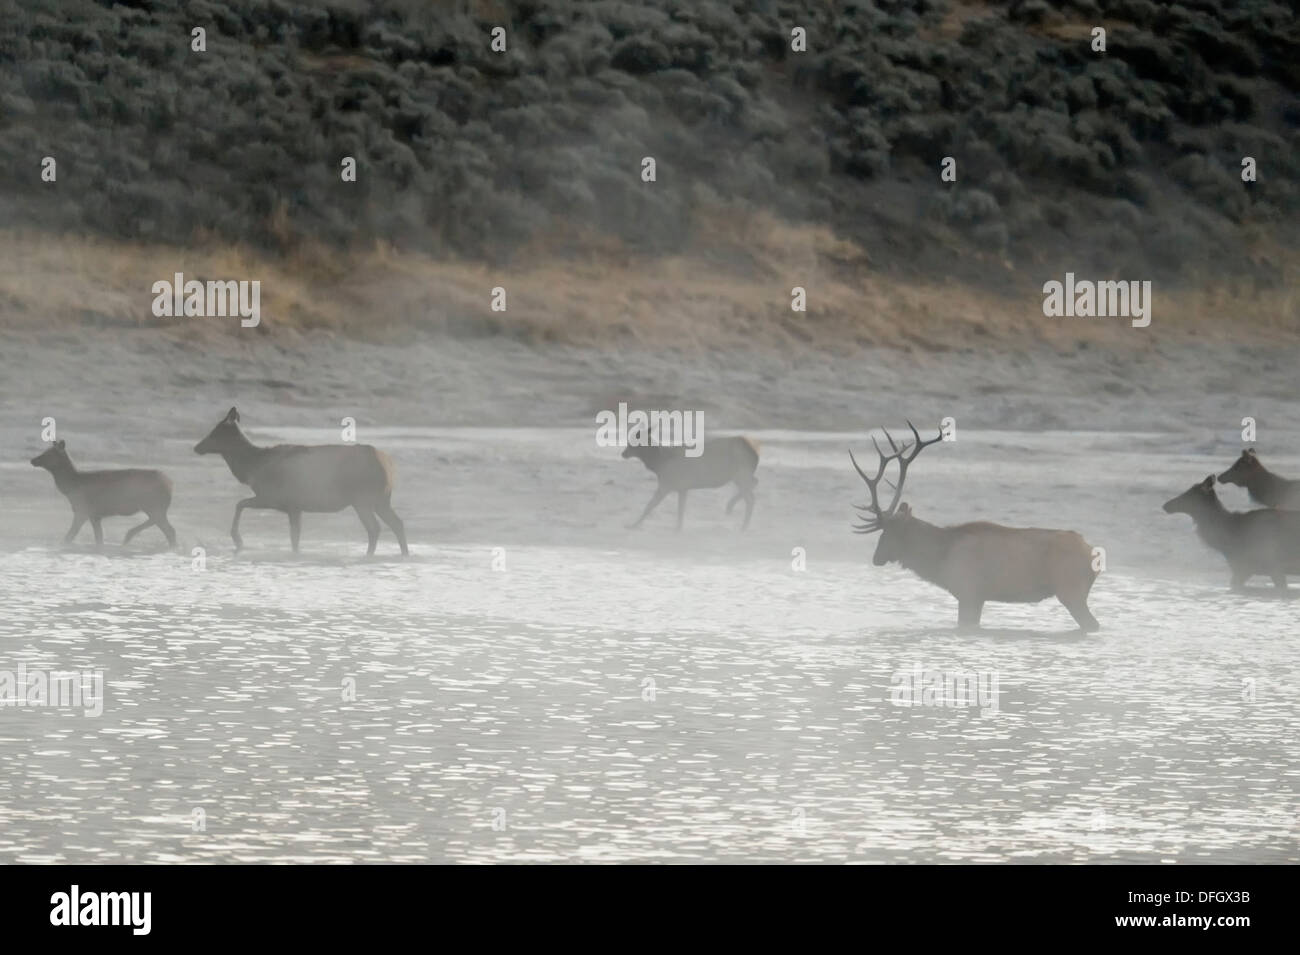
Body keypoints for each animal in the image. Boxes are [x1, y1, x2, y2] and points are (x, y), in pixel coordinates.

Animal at [31, 439, 178, 545]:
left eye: (49, 453)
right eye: (46, 450)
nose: (33, 460)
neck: (71, 487)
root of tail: (170, 484)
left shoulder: (83, 510)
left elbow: (69, 536)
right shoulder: (95, 515)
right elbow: (99, 539)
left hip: (153, 505)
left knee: (168, 529)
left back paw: (129, 536)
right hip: (155, 506)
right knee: (163, 526)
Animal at [191, 407, 405, 556]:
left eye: (215, 432)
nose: (196, 447)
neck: (253, 468)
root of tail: (388, 465)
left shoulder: (274, 497)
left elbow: (240, 503)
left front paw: (238, 540)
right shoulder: (294, 506)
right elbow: (295, 538)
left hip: (363, 498)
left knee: (375, 528)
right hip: (381, 499)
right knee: (397, 523)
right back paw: (404, 554)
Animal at [621, 433, 759, 530]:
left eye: (633, 442)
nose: (623, 453)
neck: (659, 464)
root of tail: (755, 453)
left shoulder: (668, 484)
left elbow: (650, 505)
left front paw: (633, 525)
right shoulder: (682, 487)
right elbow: (680, 509)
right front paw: (678, 528)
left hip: (741, 472)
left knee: (751, 497)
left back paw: (741, 524)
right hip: (740, 475)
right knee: (754, 483)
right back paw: (731, 509)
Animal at [847, 426, 1102, 634]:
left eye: (889, 531)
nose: (876, 557)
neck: (940, 559)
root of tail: (1093, 553)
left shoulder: (969, 592)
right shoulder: (977, 597)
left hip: (1071, 589)